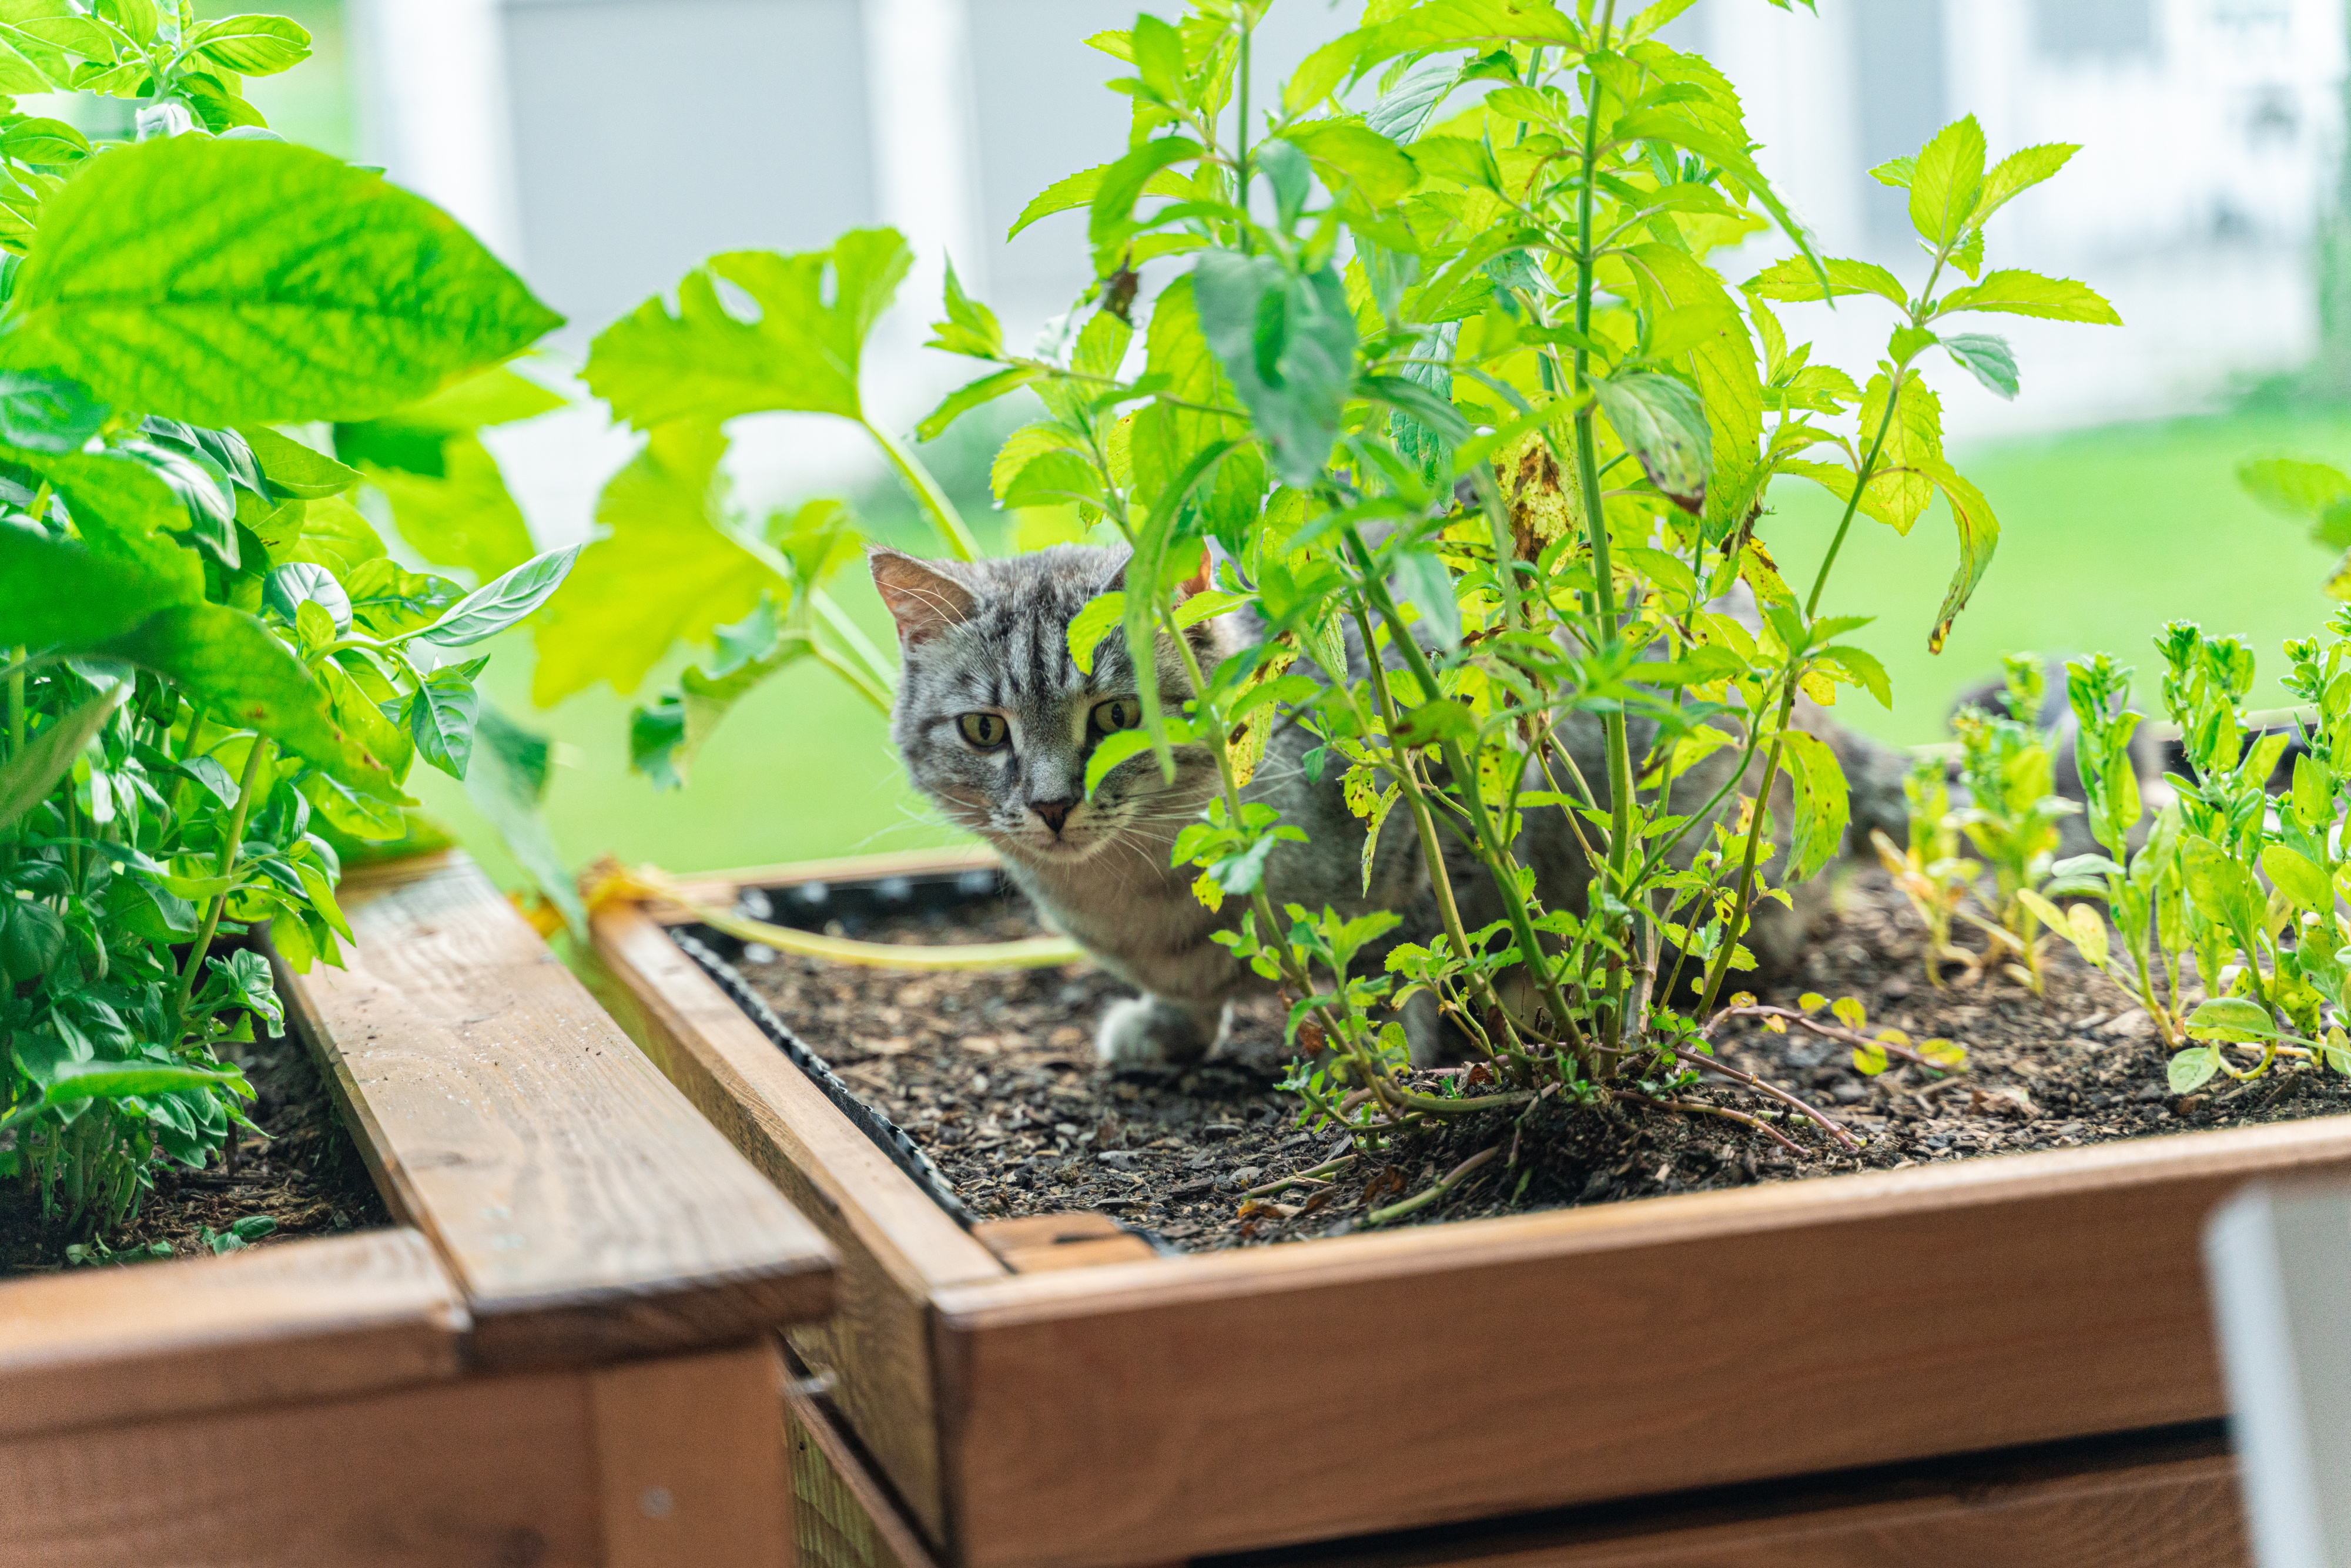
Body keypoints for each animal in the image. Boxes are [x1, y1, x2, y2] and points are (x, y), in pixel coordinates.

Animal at [875, 545, 1900, 1072]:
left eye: (1119, 719)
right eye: (983, 730)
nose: (1051, 805)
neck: (1141, 895)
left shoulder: (1427, 850)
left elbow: (1397, 966)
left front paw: (1374, 1047)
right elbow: (1188, 992)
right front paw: (1169, 1027)